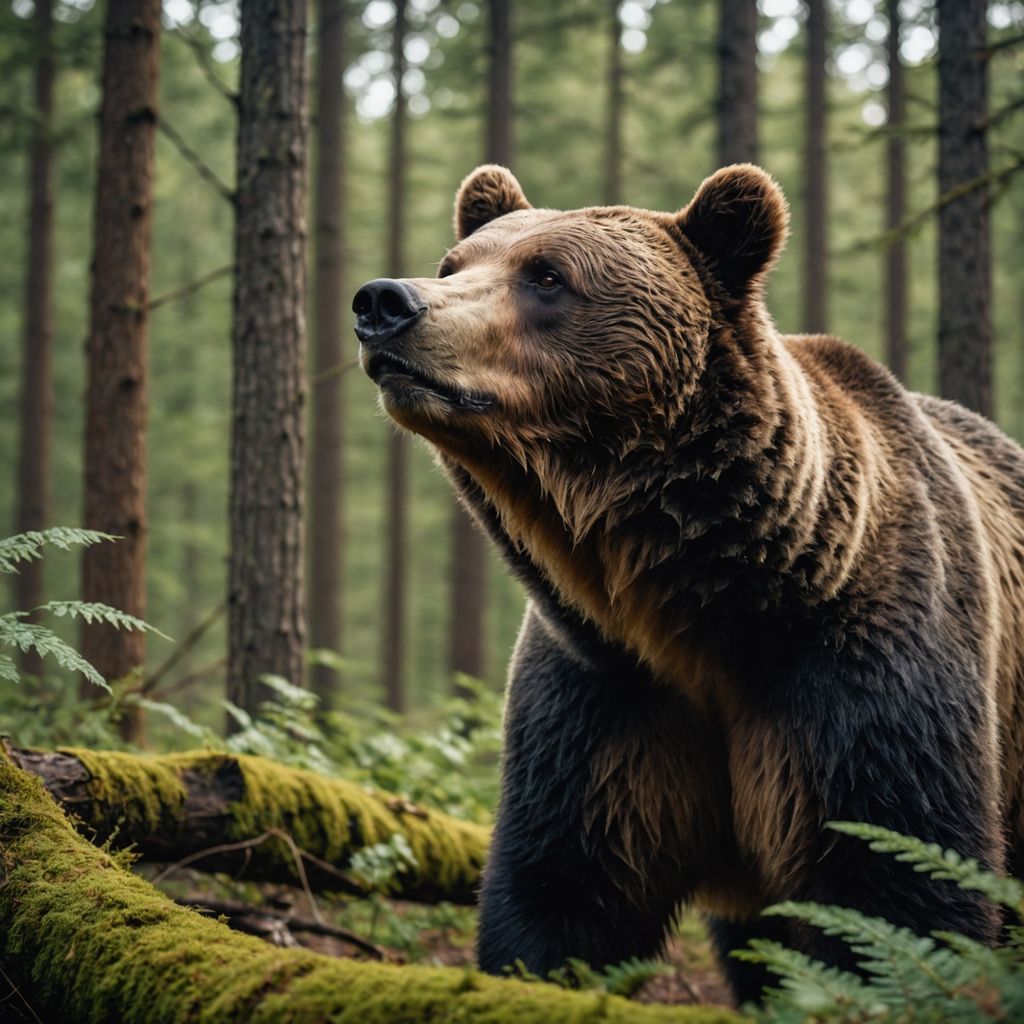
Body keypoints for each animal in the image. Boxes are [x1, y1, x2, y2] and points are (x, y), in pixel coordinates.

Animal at [352, 163, 1024, 1003]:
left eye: (547, 275)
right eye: (454, 264)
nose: (384, 303)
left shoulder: (859, 665)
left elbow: (896, 894)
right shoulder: (608, 692)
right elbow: (563, 891)